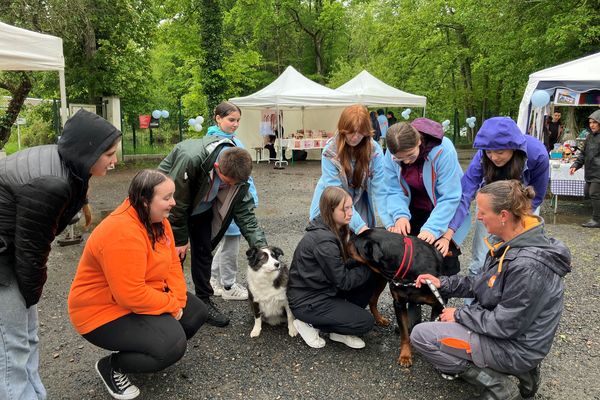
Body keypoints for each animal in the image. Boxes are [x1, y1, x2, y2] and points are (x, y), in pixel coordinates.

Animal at [346, 227, 446, 368]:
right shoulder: (399, 303)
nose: (349, 237)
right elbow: (404, 333)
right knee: (372, 300)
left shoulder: (439, 304)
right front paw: (405, 355)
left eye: (355, 244)